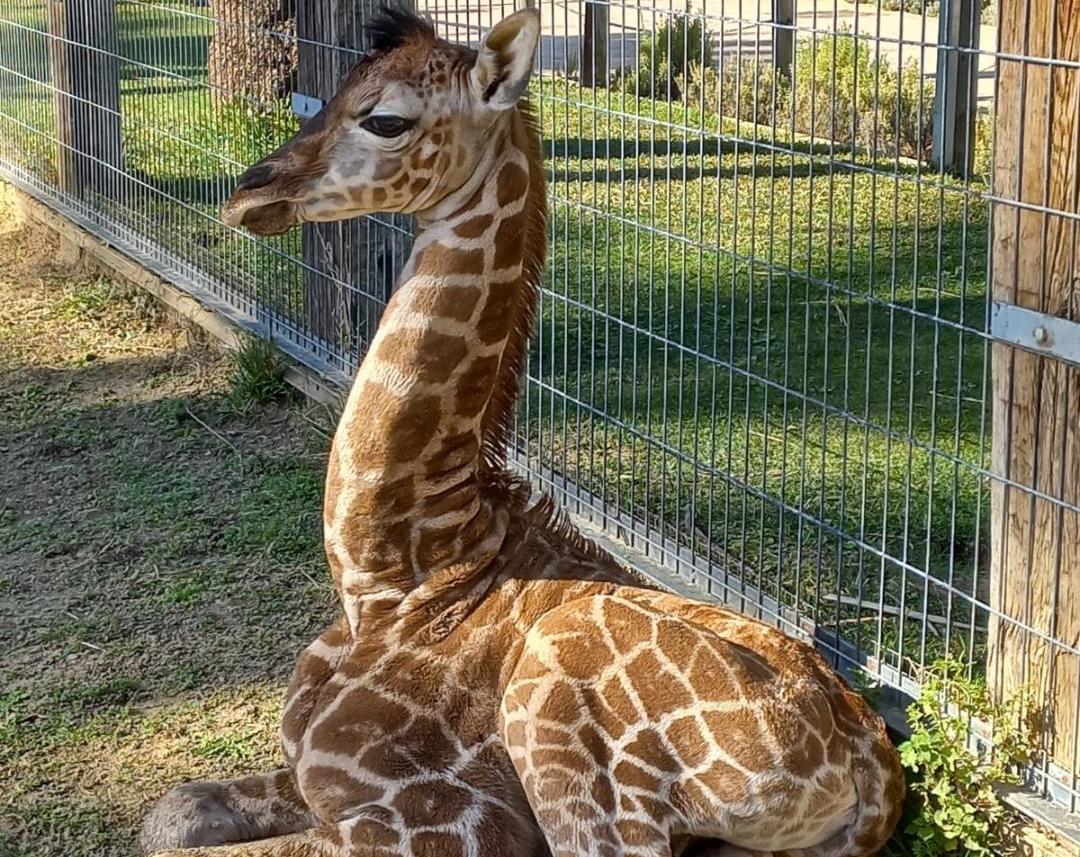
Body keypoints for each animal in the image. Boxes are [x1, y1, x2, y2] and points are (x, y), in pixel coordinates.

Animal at [141, 8, 902, 854]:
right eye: (333, 89)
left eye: (386, 119)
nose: (249, 193)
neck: (394, 576)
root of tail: (872, 767)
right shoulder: (307, 769)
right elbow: (168, 812)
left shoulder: (442, 818)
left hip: (559, 709)